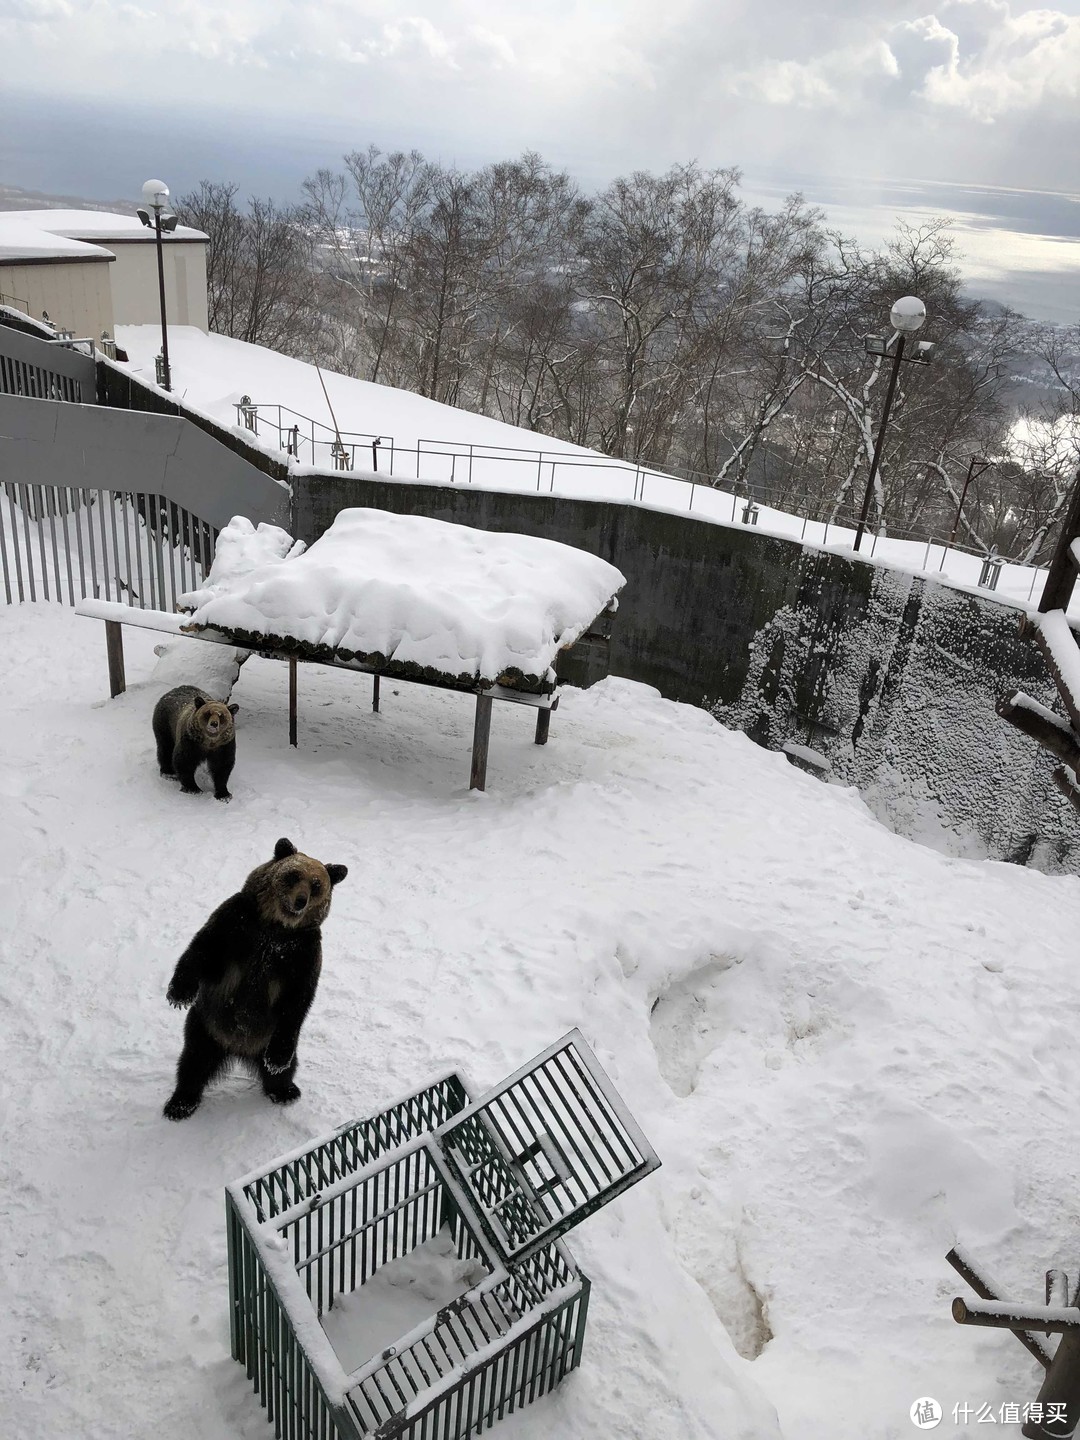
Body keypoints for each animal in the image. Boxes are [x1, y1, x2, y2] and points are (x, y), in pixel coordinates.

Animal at [162, 835, 348, 1123]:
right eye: (294, 875)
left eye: (317, 884)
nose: (300, 901)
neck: (277, 928)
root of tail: (239, 1049)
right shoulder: (238, 925)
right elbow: (203, 950)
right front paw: (178, 993)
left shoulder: (302, 953)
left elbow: (298, 998)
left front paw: (278, 1064)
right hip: (205, 1025)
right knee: (194, 1061)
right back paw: (180, 1103)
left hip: (270, 1037)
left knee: (284, 1066)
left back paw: (284, 1089)